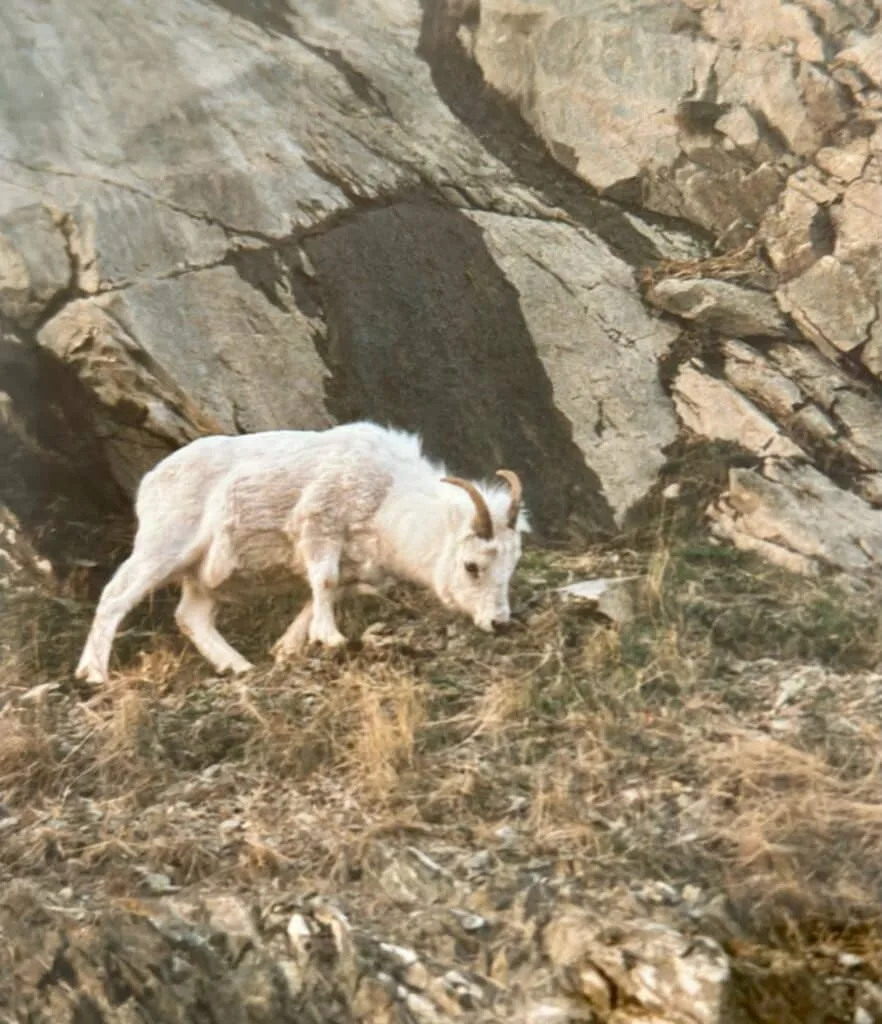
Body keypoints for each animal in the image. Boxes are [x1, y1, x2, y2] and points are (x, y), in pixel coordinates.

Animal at [75, 420, 528, 683]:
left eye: (509, 569)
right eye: (472, 566)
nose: (499, 623)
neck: (388, 495)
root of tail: (151, 481)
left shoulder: (353, 569)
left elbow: (318, 598)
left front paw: (286, 650)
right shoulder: (320, 529)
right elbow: (322, 583)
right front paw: (331, 640)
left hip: (201, 580)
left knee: (192, 617)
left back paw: (239, 666)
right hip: (163, 550)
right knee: (116, 597)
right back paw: (92, 675)